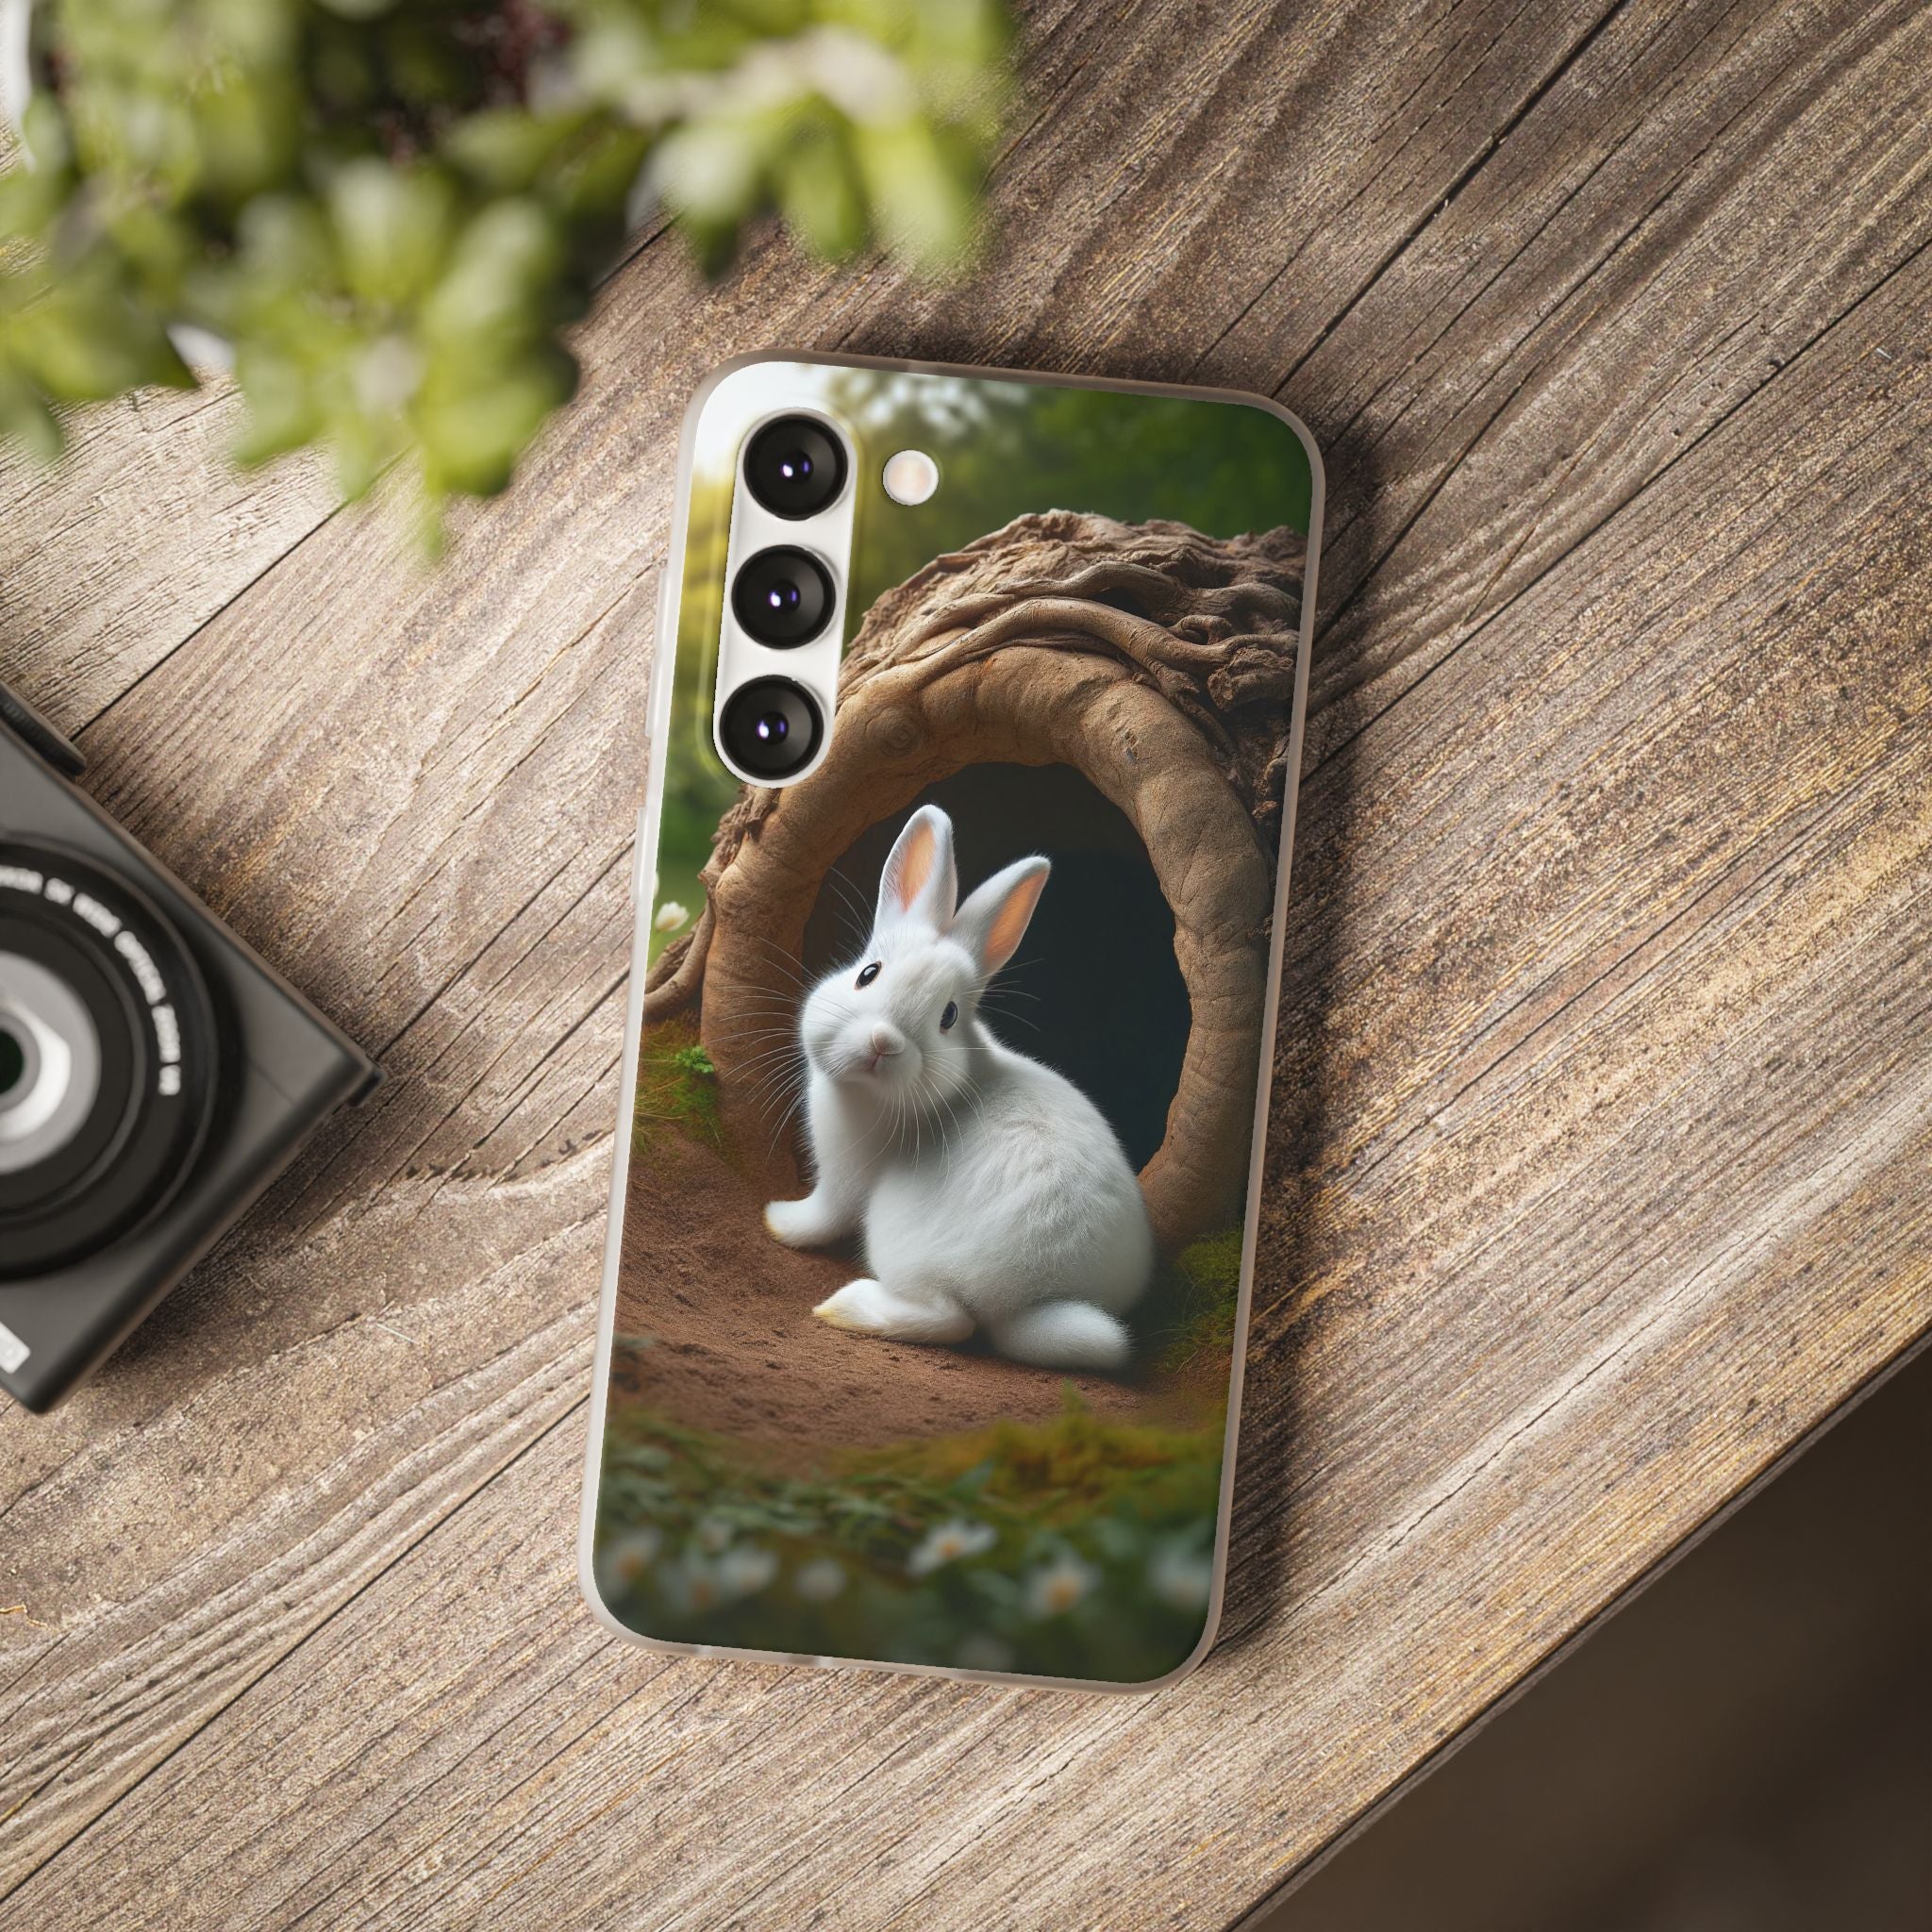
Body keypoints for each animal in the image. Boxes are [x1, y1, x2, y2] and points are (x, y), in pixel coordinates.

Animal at [763, 803, 1153, 1373]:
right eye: (868, 974)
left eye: (947, 1016)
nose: (883, 1042)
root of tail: (1030, 1299)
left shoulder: (843, 1179)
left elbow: (822, 1217)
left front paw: (778, 1219)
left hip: (900, 1237)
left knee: (949, 1319)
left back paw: (843, 1307)